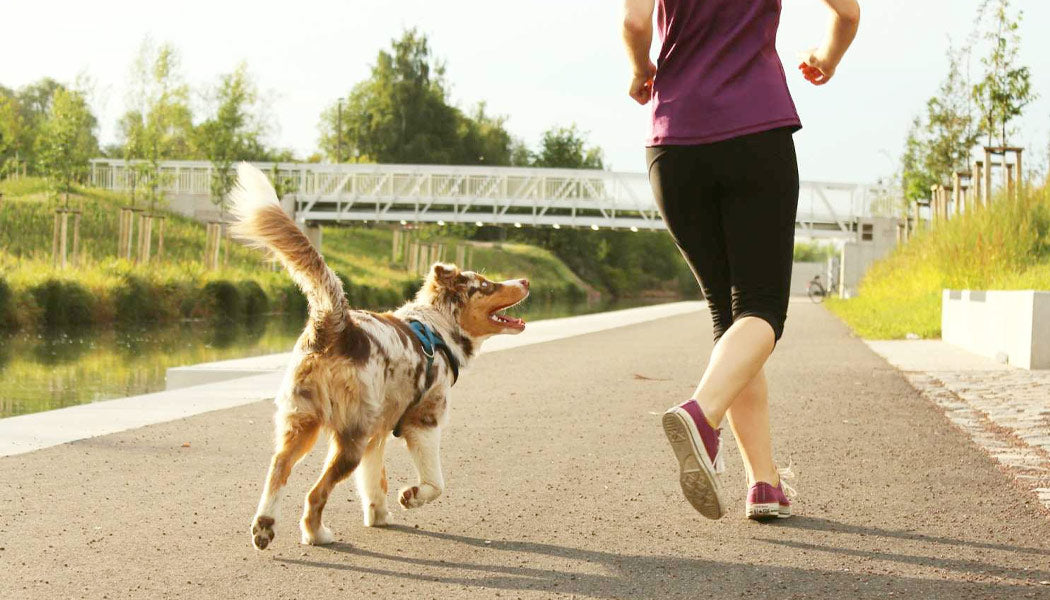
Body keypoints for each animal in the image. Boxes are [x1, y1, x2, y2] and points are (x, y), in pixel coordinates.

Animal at [226, 162, 529, 550]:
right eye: (487, 286)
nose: (525, 281)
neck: (438, 327)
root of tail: (336, 325)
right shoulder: (423, 420)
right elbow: (436, 483)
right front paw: (411, 496)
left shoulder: (379, 433)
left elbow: (374, 482)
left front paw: (378, 516)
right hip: (348, 437)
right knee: (315, 492)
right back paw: (316, 534)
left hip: (302, 422)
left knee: (279, 467)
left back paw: (264, 527)